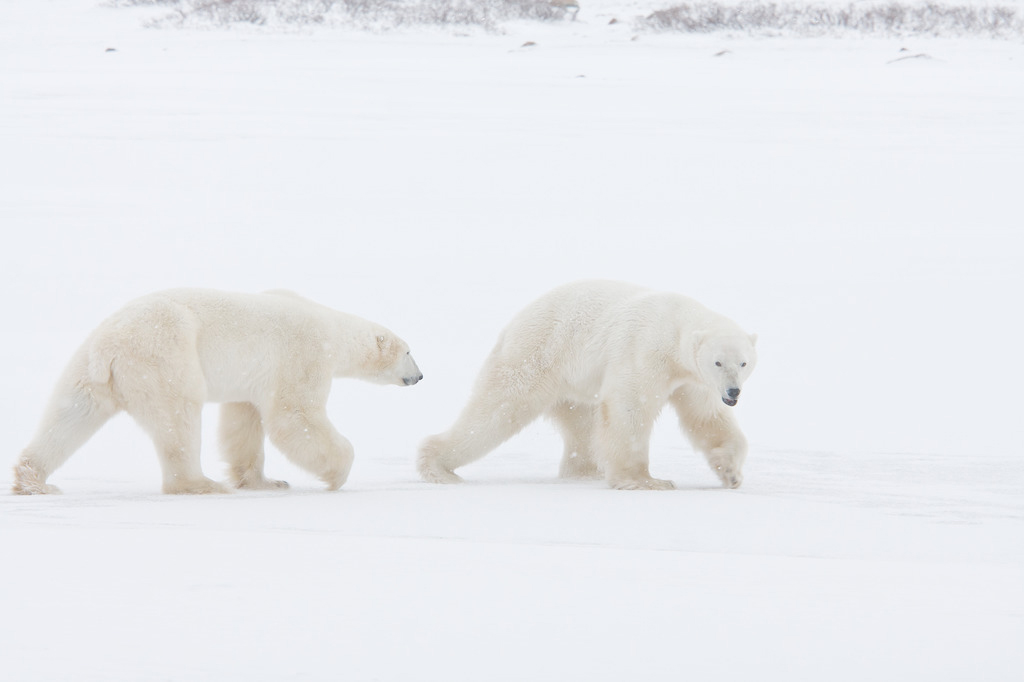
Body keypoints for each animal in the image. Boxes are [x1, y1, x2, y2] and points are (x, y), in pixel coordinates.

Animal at [12, 286, 419, 493]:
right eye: (409, 352)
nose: (420, 376)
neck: (332, 327)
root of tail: (108, 348)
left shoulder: (255, 376)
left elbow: (244, 420)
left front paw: (266, 481)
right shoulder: (302, 355)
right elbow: (295, 416)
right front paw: (337, 474)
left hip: (91, 371)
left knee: (69, 415)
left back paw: (33, 480)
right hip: (164, 354)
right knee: (179, 415)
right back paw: (200, 483)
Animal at [417, 280, 761, 489]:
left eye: (743, 363)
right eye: (718, 362)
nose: (733, 392)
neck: (674, 325)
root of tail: (512, 324)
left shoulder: (693, 379)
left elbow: (704, 416)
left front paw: (731, 472)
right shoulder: (645, 350)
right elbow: (630, 406)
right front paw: (645, 480)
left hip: (573, 385)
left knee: (582, 425)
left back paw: (584, 472)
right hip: (537, 356)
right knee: (496, 411)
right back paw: (437, 466)